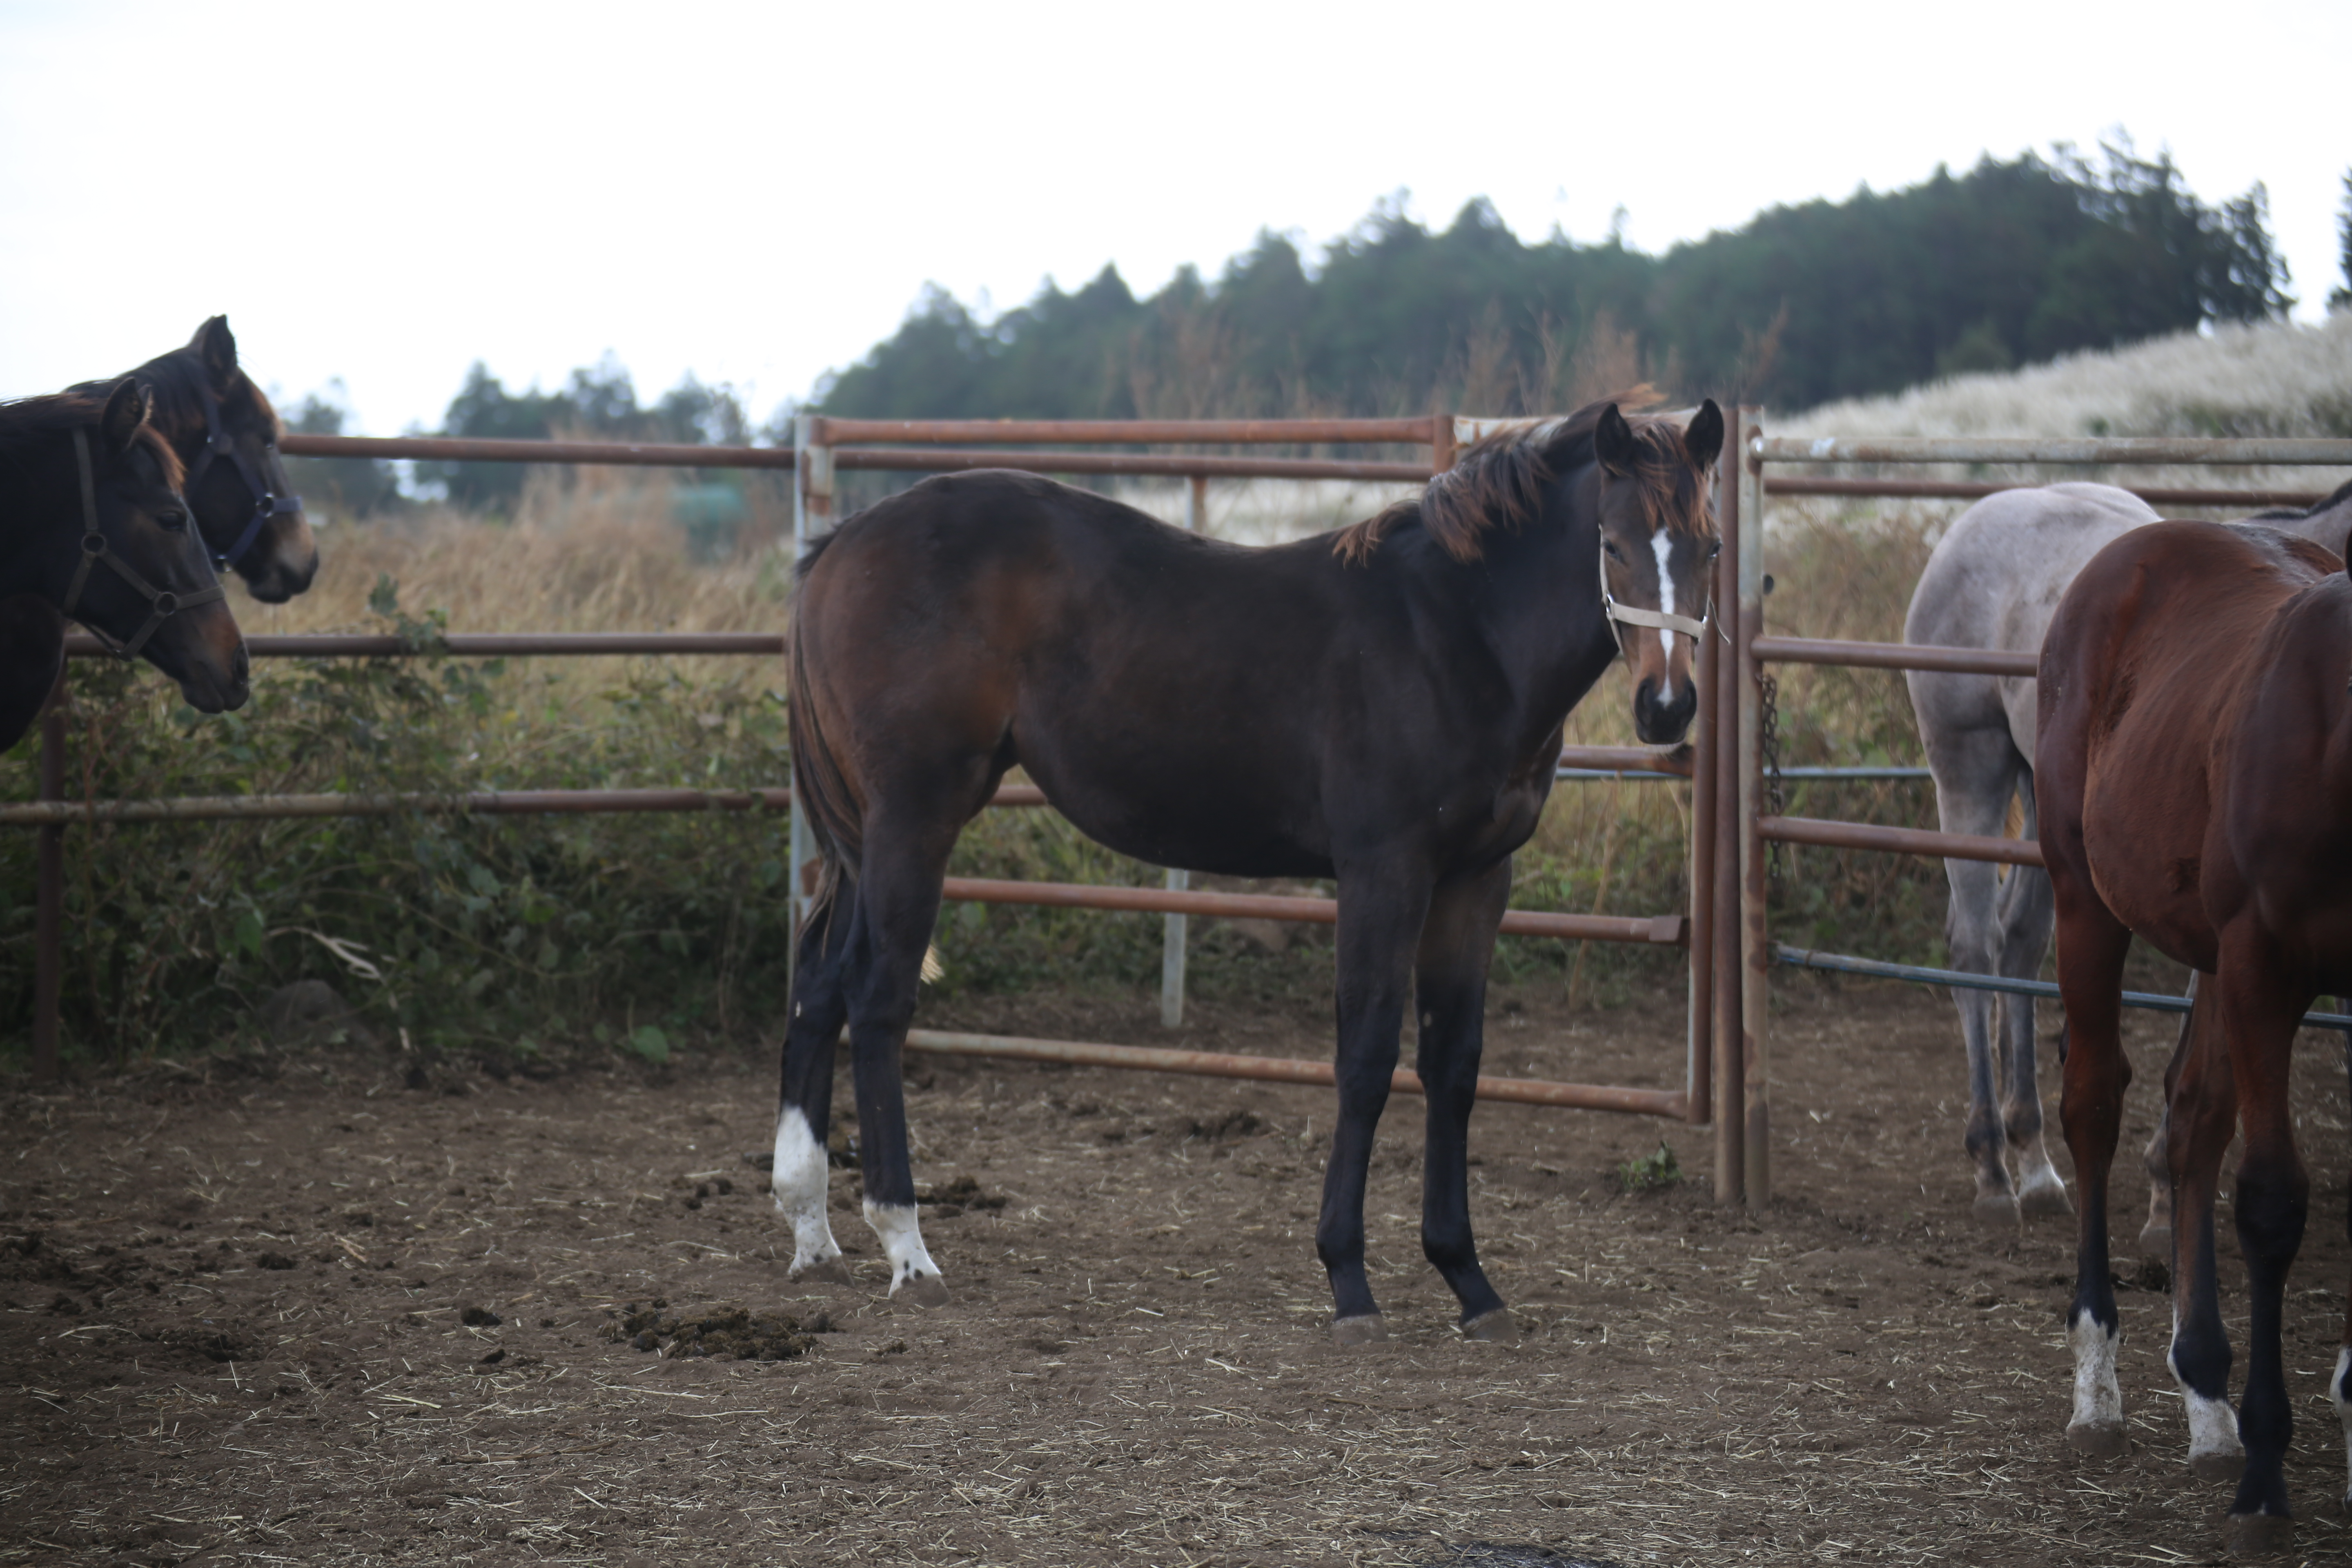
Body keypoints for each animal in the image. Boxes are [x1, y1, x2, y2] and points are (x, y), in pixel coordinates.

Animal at [781, 399, 1722, 1345]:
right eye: (1612, 544)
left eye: (1711, 547)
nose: (1666, 706)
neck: (1454, 635)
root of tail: (843, 540)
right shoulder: (1384, 871)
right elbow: (1366, 1059)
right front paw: (1349, 1281)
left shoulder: (1477, 881)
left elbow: (1454, 1065)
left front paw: (1469, 1279)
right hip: (914, 820)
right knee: (878, 1001)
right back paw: (906, 1246)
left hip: (865, 836)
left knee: (819, 985)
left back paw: (812, 1230)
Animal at [1900, 474, 2342, 1222]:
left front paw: (2169, 1185)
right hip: (1971, 769)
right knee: (1976, 945)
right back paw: (1993, 1168)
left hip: (2049, 813)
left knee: (2020, 941)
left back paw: (2035, 1161)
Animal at [2041, 522, 2352, 1551]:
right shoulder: (2263, 965)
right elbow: (2270, 1202)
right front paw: (2265, 1476)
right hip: (2086, 900)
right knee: (2094, 1108)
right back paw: (2098, 1391)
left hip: (2206, 949)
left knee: (2194, 1121)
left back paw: (2207, 1398)